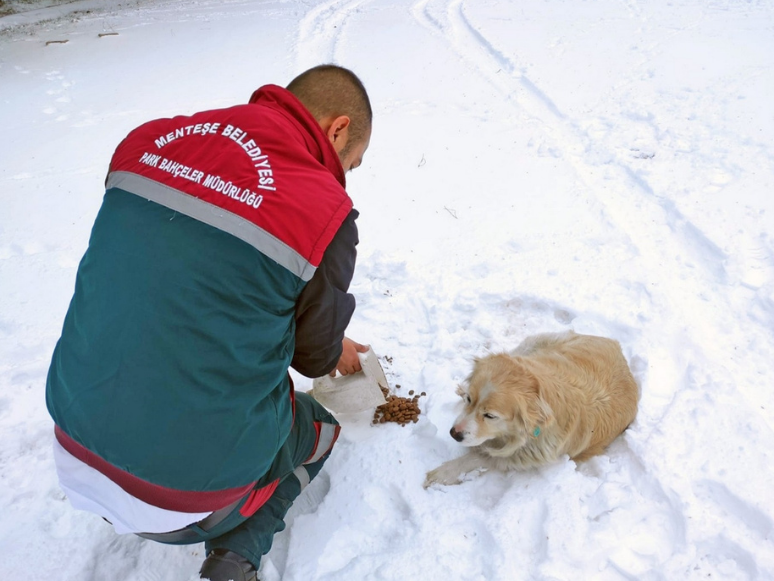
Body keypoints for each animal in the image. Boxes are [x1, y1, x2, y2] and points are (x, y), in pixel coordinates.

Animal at [428, 328, 640, 488]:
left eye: (490, 415)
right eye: (469, 400)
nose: (454, 433)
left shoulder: (519, 455)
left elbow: (479, 458)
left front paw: (442, 474)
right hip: (536, 344)